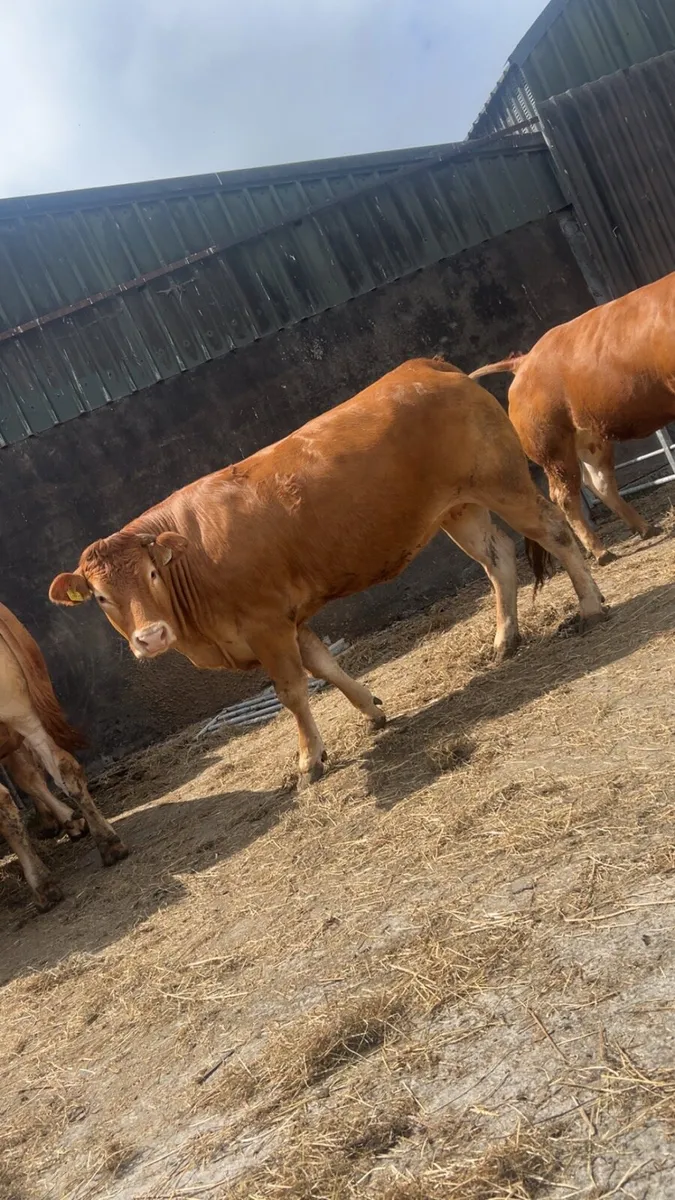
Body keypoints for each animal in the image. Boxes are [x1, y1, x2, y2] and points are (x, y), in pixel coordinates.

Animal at [49, 359, 607, 788]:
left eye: (150, 574)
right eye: (100, 596)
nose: (151, 637)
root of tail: (427, 366)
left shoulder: (266, 624)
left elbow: (293, 692)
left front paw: (308, 760)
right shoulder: (289, 619)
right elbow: (325, 665)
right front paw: (374, 709)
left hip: (502, 482)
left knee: (554, 530)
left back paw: (589, 607)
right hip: (459, 507)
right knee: (499, 560)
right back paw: (504, 640)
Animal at [470, 272, 675, 563]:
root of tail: (525, 361)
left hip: (590, 436)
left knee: (599, 482)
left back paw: (645, 527)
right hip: (552, 448)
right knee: (565, 496)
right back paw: (601, 551)